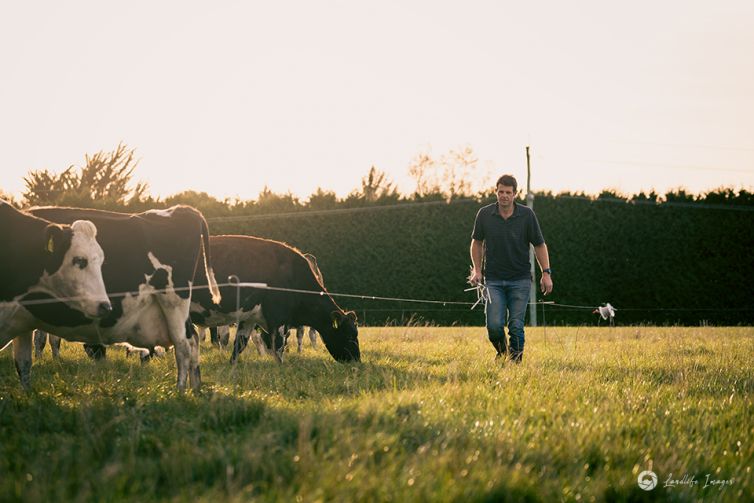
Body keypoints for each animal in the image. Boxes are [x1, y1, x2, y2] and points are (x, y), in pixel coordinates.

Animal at [25, 203, 220, 392]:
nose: (100, 360)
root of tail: (184, 209)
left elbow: (39, 340)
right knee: (193, 339)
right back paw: (195, 388)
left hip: (173, 300)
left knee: (183, 346)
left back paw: (180, 390)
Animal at [185, 236, 356, 366]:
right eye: (349, 335)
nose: (356, 361)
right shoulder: (278, 317)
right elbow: (278, 345)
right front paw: (281, 368)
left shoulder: (249, 317)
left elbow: (240, 343)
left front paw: (232, 365)